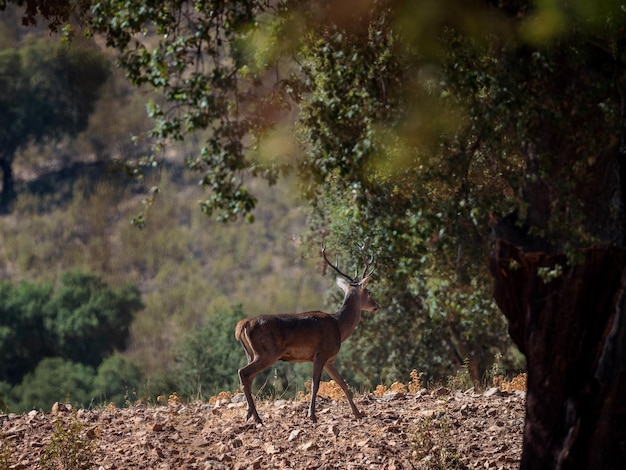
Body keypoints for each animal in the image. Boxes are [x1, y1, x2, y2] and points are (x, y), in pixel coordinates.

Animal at [234, 244, 378, 424]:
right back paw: (257, 418)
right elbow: (315, 383)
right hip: (267, 353)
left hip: (250, 353)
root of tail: (242, 325)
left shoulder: (330, 359)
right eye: (369, 292)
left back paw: (249, 414)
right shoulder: (321, 353)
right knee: (243, 372)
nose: (377, 305)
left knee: (248, 377)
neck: (339, 326)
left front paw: (358, 413)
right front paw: (312, 415)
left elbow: (342, 383)